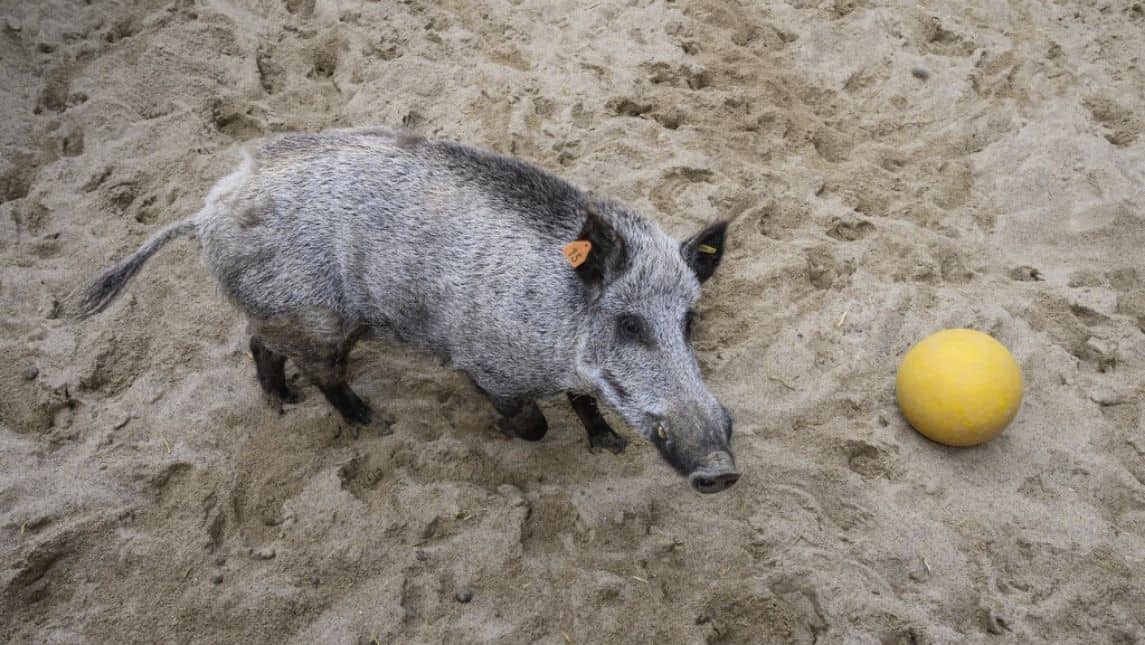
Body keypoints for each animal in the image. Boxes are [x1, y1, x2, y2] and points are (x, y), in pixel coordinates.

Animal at [71, 127, 738, 493]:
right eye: (628, 322)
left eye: (689, 320)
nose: (722, 470)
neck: (558, 320)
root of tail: (206, 211)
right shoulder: (488, 366)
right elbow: (534, 423)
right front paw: (508, 434)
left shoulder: (574, 374)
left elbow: (586, 402)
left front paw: (610, 447)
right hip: (313, 314)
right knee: (321, 371)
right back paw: (373, 423)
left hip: (305, 315)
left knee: (263, 346)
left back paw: (283, 404)